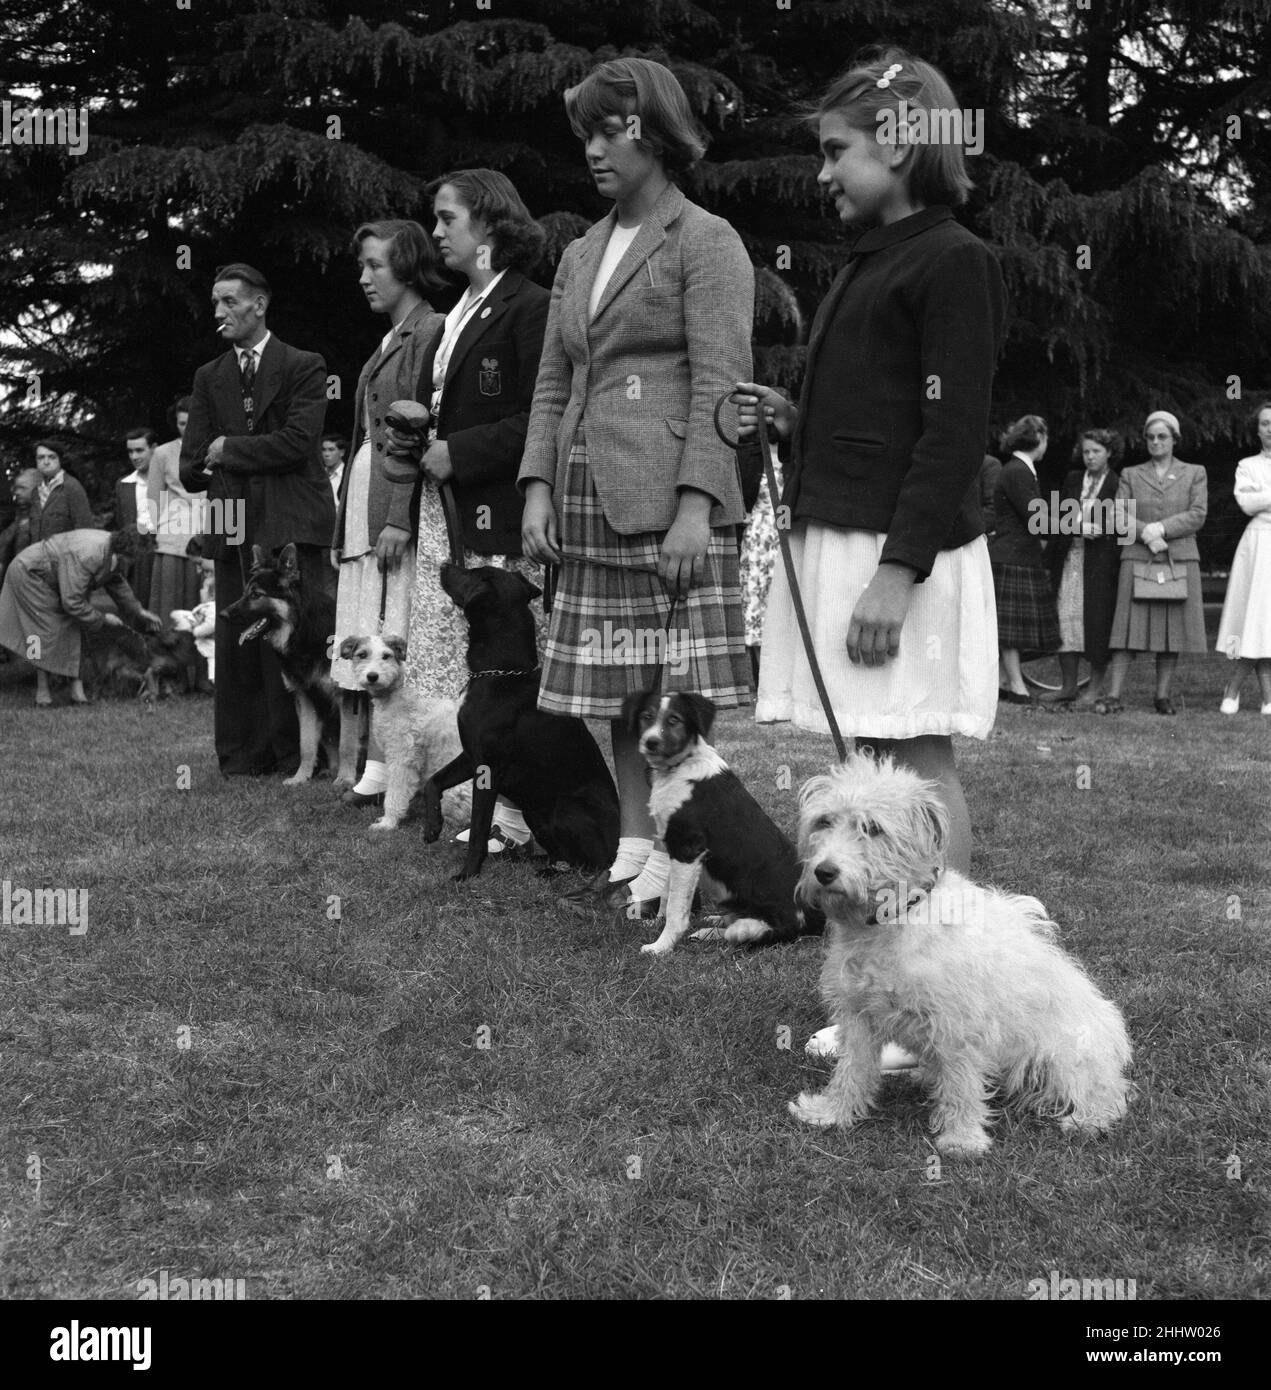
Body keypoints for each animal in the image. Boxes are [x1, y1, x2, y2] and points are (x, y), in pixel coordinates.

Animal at [219, 542, 339, 783]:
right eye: (245, 592)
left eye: (256, 594)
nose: (222, 615)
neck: (302, 631)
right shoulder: (306, 697)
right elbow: (306, 744)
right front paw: (300, 778)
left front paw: (349, 781)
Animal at [419, 561, 620, 878]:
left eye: (471, 573)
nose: (444, 564)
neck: (501, 674)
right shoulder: (471, 755)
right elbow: (433, 781)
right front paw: (432, 827)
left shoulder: (488, 768)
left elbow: (478, 829)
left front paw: (467, 874)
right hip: (534, 812)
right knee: (563, 856)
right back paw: (537, 865)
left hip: (564, 809)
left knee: (594, 864)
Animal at [622, 686, 823, 956]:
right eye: (646, 716)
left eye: (674, 720)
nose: (650, 743)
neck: (680, 766)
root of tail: (817, 921)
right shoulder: (671, 844)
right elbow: (667, 893)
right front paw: (655, 923)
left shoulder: (688, 849)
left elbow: (676, 907)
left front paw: (661, 946)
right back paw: (711, 927)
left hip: (769, 924)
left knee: (750, 933)